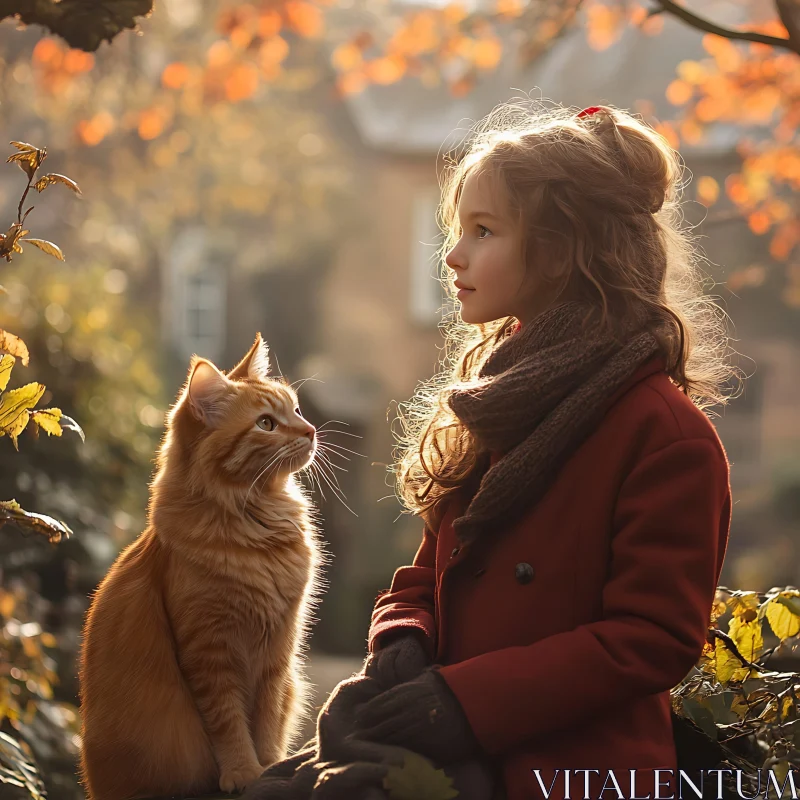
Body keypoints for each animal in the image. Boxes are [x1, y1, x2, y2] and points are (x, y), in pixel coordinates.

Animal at [76, 334, 324, 800]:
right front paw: (245, 772)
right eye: (267, 424)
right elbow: (229, 724)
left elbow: (266, 720)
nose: (310, 430)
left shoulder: (278, 652)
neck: (257, 534)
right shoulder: (209, 652)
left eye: (297, 410)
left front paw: (271, 766)